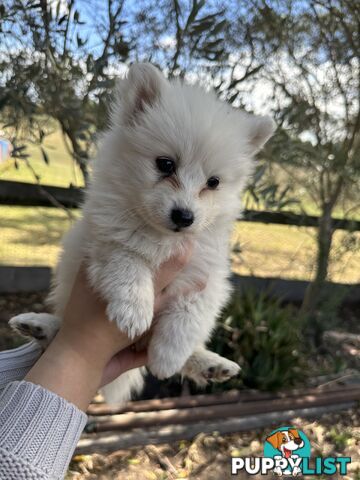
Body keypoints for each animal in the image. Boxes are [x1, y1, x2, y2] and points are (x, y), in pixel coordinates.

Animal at [11, 62, 276, 402]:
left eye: (214, 182)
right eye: (165, 164)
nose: (184, 216)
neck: (162, 236)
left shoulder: (208, 276)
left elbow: (188, 315)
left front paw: (167, 357)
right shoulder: (106, 241)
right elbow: (129, 263)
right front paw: (134, 311)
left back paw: (210, 364)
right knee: (61, 328)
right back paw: (38, 325)